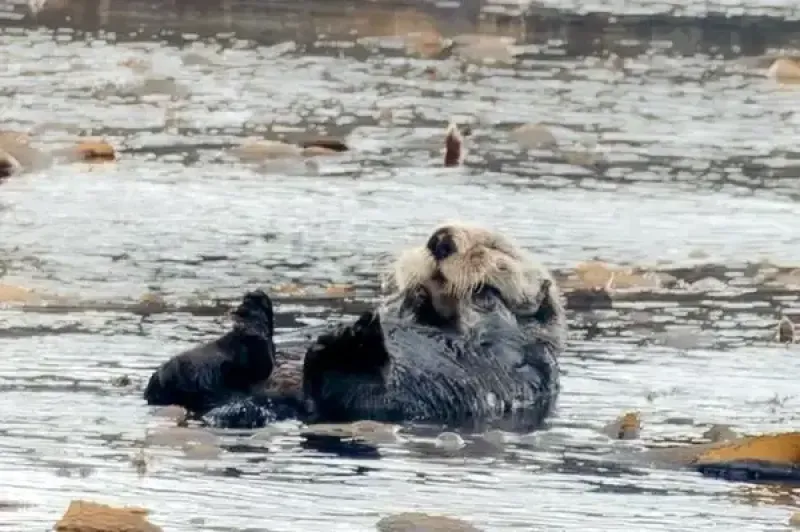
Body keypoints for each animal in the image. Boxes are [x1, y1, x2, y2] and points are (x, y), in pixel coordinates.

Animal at [143, 222, 566, 432]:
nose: (441, 240)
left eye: (497, 248)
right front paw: (415, 292)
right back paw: (254, 324)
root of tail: (270, 403)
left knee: (348, 392)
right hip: (185, 378)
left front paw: (482, 294)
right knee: (179, 377)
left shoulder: (524, 355)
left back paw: (348, 343)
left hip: (391, 403)